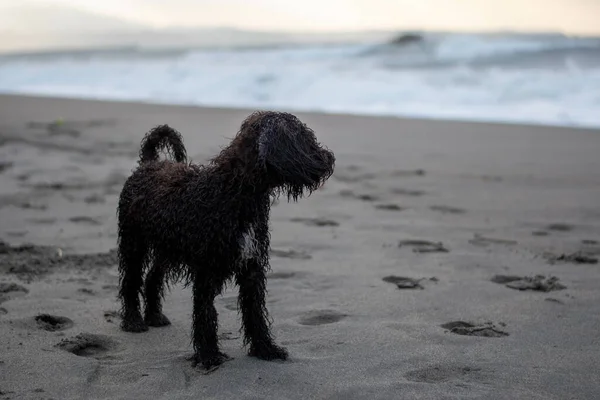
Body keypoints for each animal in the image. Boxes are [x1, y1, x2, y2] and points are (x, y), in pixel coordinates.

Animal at [115, 110, 336, 372]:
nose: (330, 158)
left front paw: (265, 349)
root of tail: (148, 163)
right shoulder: (207, 270)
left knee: (152, 278)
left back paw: (155, 317)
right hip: (133, 242)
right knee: (131, 280)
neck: (236, 192)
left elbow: (255, 312)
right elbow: (205, 313)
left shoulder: (252, 267)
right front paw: (209, 355)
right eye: (302, 138)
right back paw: (133, 321)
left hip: (166, 248)